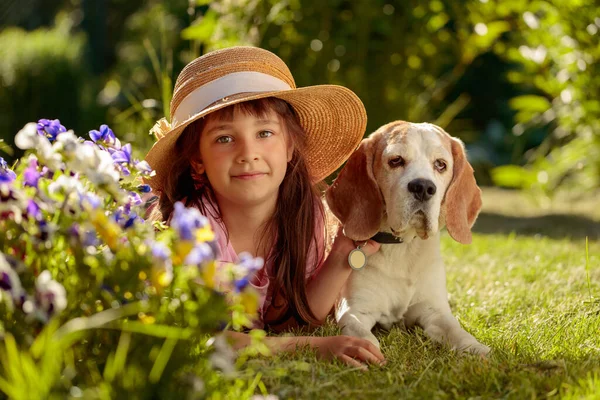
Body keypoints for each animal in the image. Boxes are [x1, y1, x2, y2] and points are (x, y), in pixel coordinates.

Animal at [326, 120, 490, 354]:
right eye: (396, 160)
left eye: (440, 165)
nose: (423, 187)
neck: (402, 248)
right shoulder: (354, 312)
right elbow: (365, 337)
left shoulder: (435, 312)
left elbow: (458, 333)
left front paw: (478, 350)